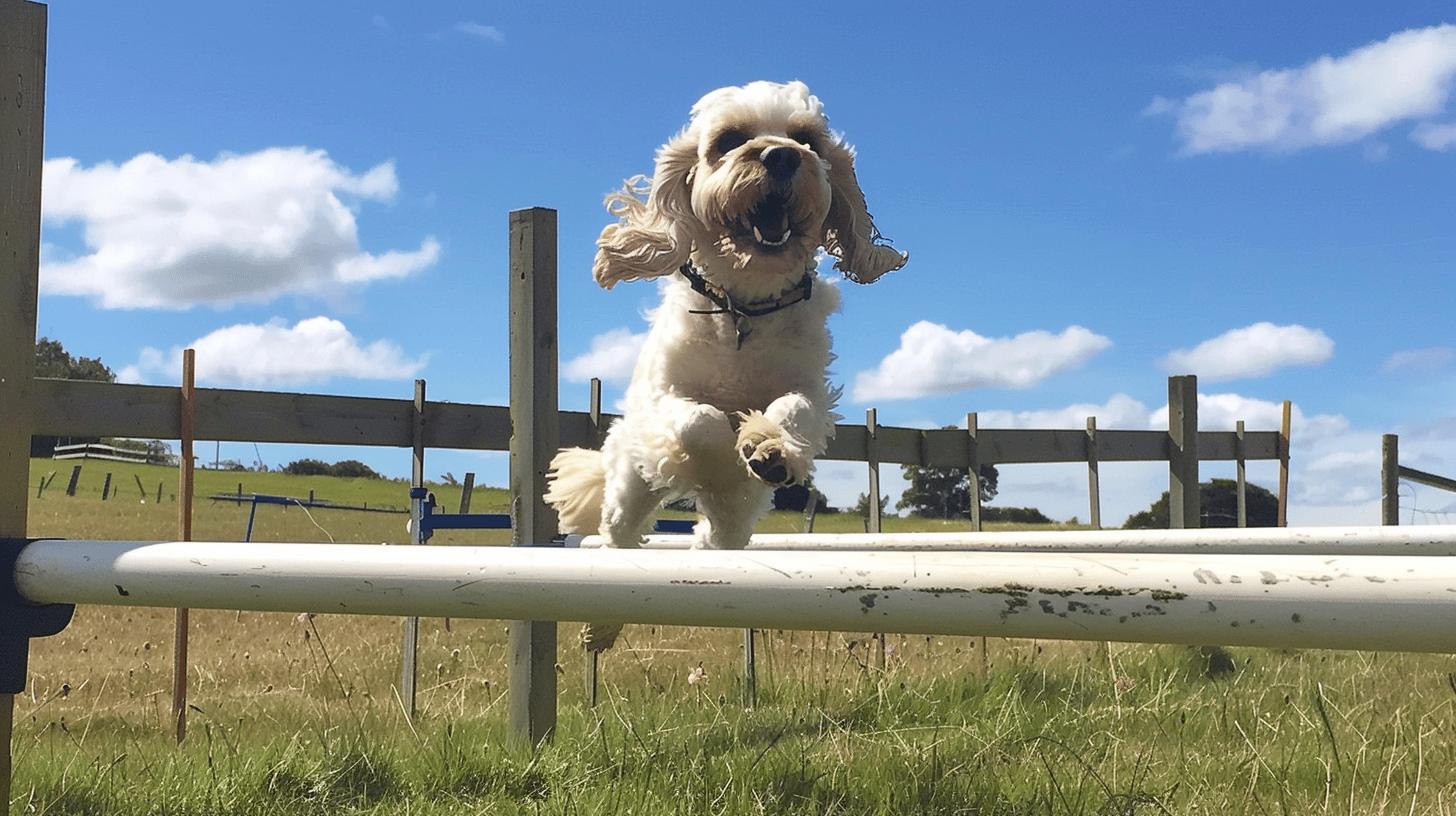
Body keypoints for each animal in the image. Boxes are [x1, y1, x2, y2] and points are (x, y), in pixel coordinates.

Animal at [547, 79, 902, 646]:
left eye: (807, 140)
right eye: (729, 139)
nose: (782, 155)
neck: (745, 307)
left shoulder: (811, 389)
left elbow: (792, 409)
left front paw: (766, 444)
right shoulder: (664, 399)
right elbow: (700, 421)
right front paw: (720, 450)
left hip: (737, 521)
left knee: (713, 538)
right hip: (628, 488)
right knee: (616, 539)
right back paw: (600, 626)